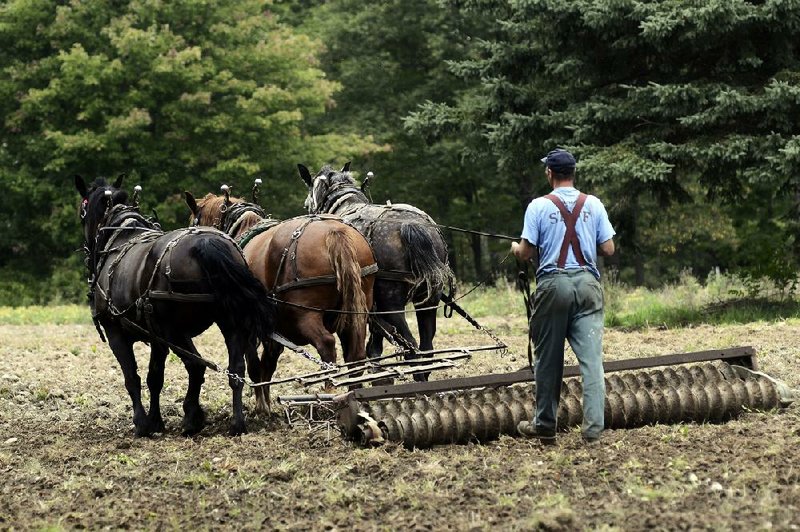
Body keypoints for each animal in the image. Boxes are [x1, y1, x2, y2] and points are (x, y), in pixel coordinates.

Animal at [184, 189, 378, 410]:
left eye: (194, 222)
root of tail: (335, 233)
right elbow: (268, 364)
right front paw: (267, 403)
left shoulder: (250, 326)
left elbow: (255, 366)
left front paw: (261, 404)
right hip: (355, 313)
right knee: (356, 355)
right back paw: (356, 394)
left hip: (306, 314)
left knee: (326, 345)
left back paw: (330, 391)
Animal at [296, 162, 454, 378]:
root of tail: (410, 225)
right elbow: (375, 347)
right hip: (429, 299)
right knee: (427, 348)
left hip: (391, 302)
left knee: (411, 346)